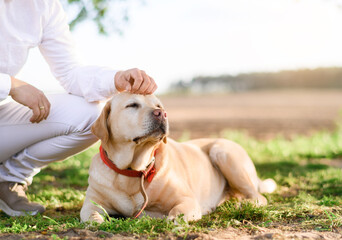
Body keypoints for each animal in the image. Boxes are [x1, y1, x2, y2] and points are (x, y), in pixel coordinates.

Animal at [80, 92, 276, 223]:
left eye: (159, 106)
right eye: (132, 105)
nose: (162, 113)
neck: (133, 170)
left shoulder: (186, 200)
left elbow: (176, 214)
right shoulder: (92, 202)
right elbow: (90, 214)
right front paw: (97, 221)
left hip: (222, 152)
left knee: (258, 197)